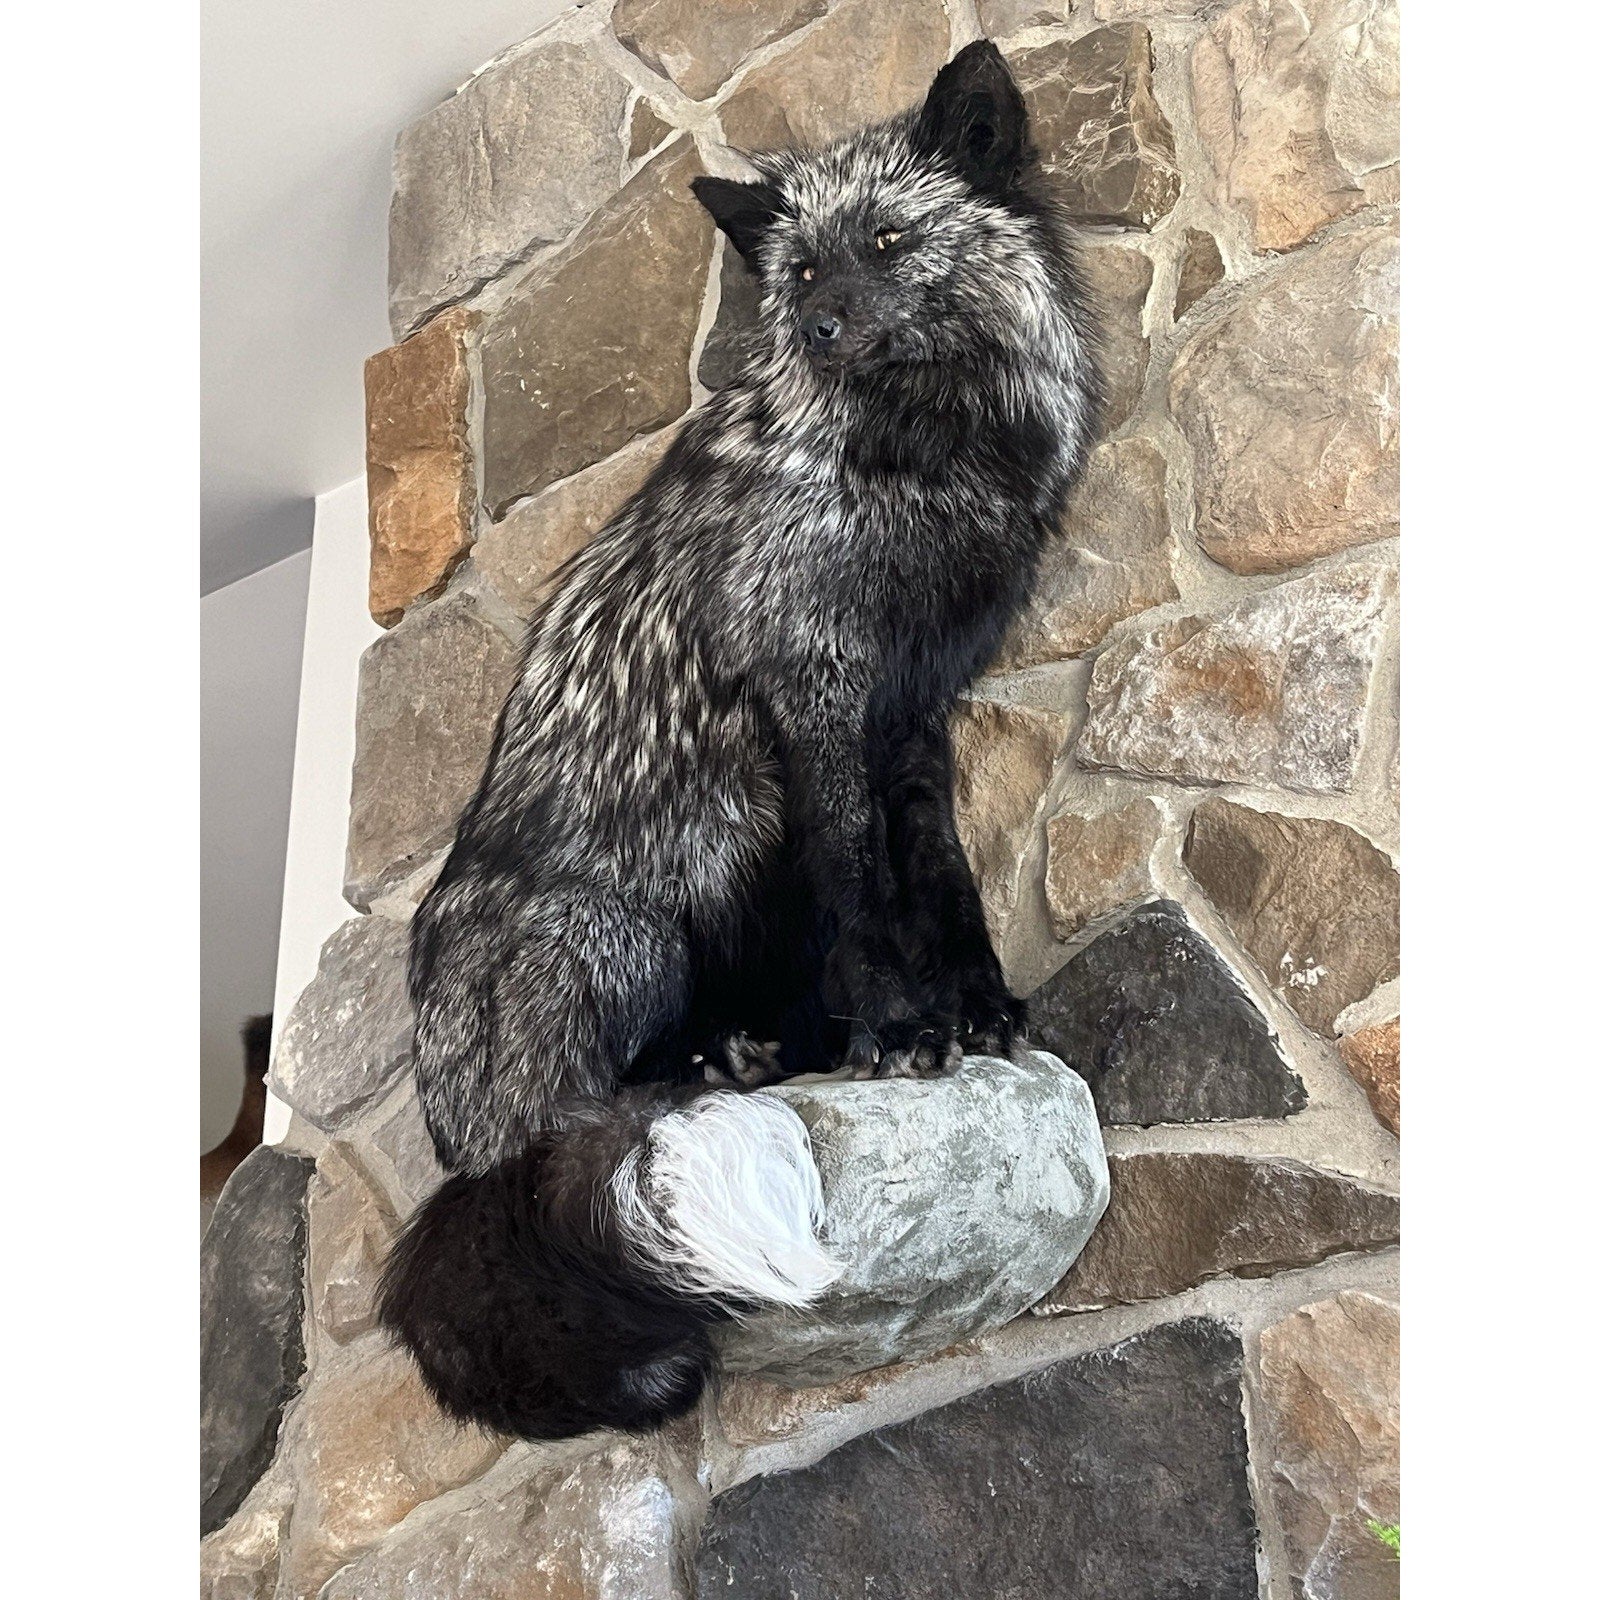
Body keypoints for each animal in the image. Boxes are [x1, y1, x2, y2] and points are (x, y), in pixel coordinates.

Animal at [378, 41, 1102, 1443]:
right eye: (802, 271)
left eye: (887, 239)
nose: (817, 330)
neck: (921, 462)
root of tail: (466, 1148)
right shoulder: (816, 684)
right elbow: (865, 884)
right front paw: (902, 1029)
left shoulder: (916, 705)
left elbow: (939, 877)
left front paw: (974, 1007)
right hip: (627, 931)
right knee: (614, 1089)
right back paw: (728, 1058)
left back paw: (781, 1046)